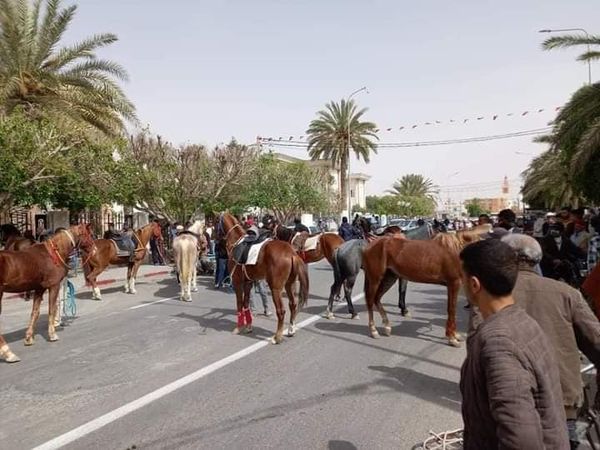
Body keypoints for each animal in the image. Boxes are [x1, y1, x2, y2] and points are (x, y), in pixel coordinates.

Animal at [0, 223, 92, 364]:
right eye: (89, 234)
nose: (94, 248)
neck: (53, 254)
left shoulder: (39, 289)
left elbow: (35, 313)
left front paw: (29, 338)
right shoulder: (53, 286)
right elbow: (52, 309)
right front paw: (52, 334)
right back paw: (8, 354)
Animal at [216, 213, 310, 342]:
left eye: (214, 222)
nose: (214, 238)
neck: (237, 242)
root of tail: (291, 253)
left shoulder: (237, 282)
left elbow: (239, 304)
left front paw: (239, 327)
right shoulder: (248, 282)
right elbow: (246, 304)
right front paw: (248, 326)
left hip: (275, 288)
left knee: (281, 310)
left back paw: (277, 336)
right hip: (289, 284)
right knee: (292, 305)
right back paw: (291, 330)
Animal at [360, 227, 488, 346]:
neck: (455, 250)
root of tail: (369, 245)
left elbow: (451, 309)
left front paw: (454, 335)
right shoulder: (453, 283)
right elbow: (451, 309)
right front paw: (452, 338)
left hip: (389, 278)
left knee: (377, 299)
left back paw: (387, 327)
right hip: (375, 279)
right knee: (370, 301)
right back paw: (374, 331)